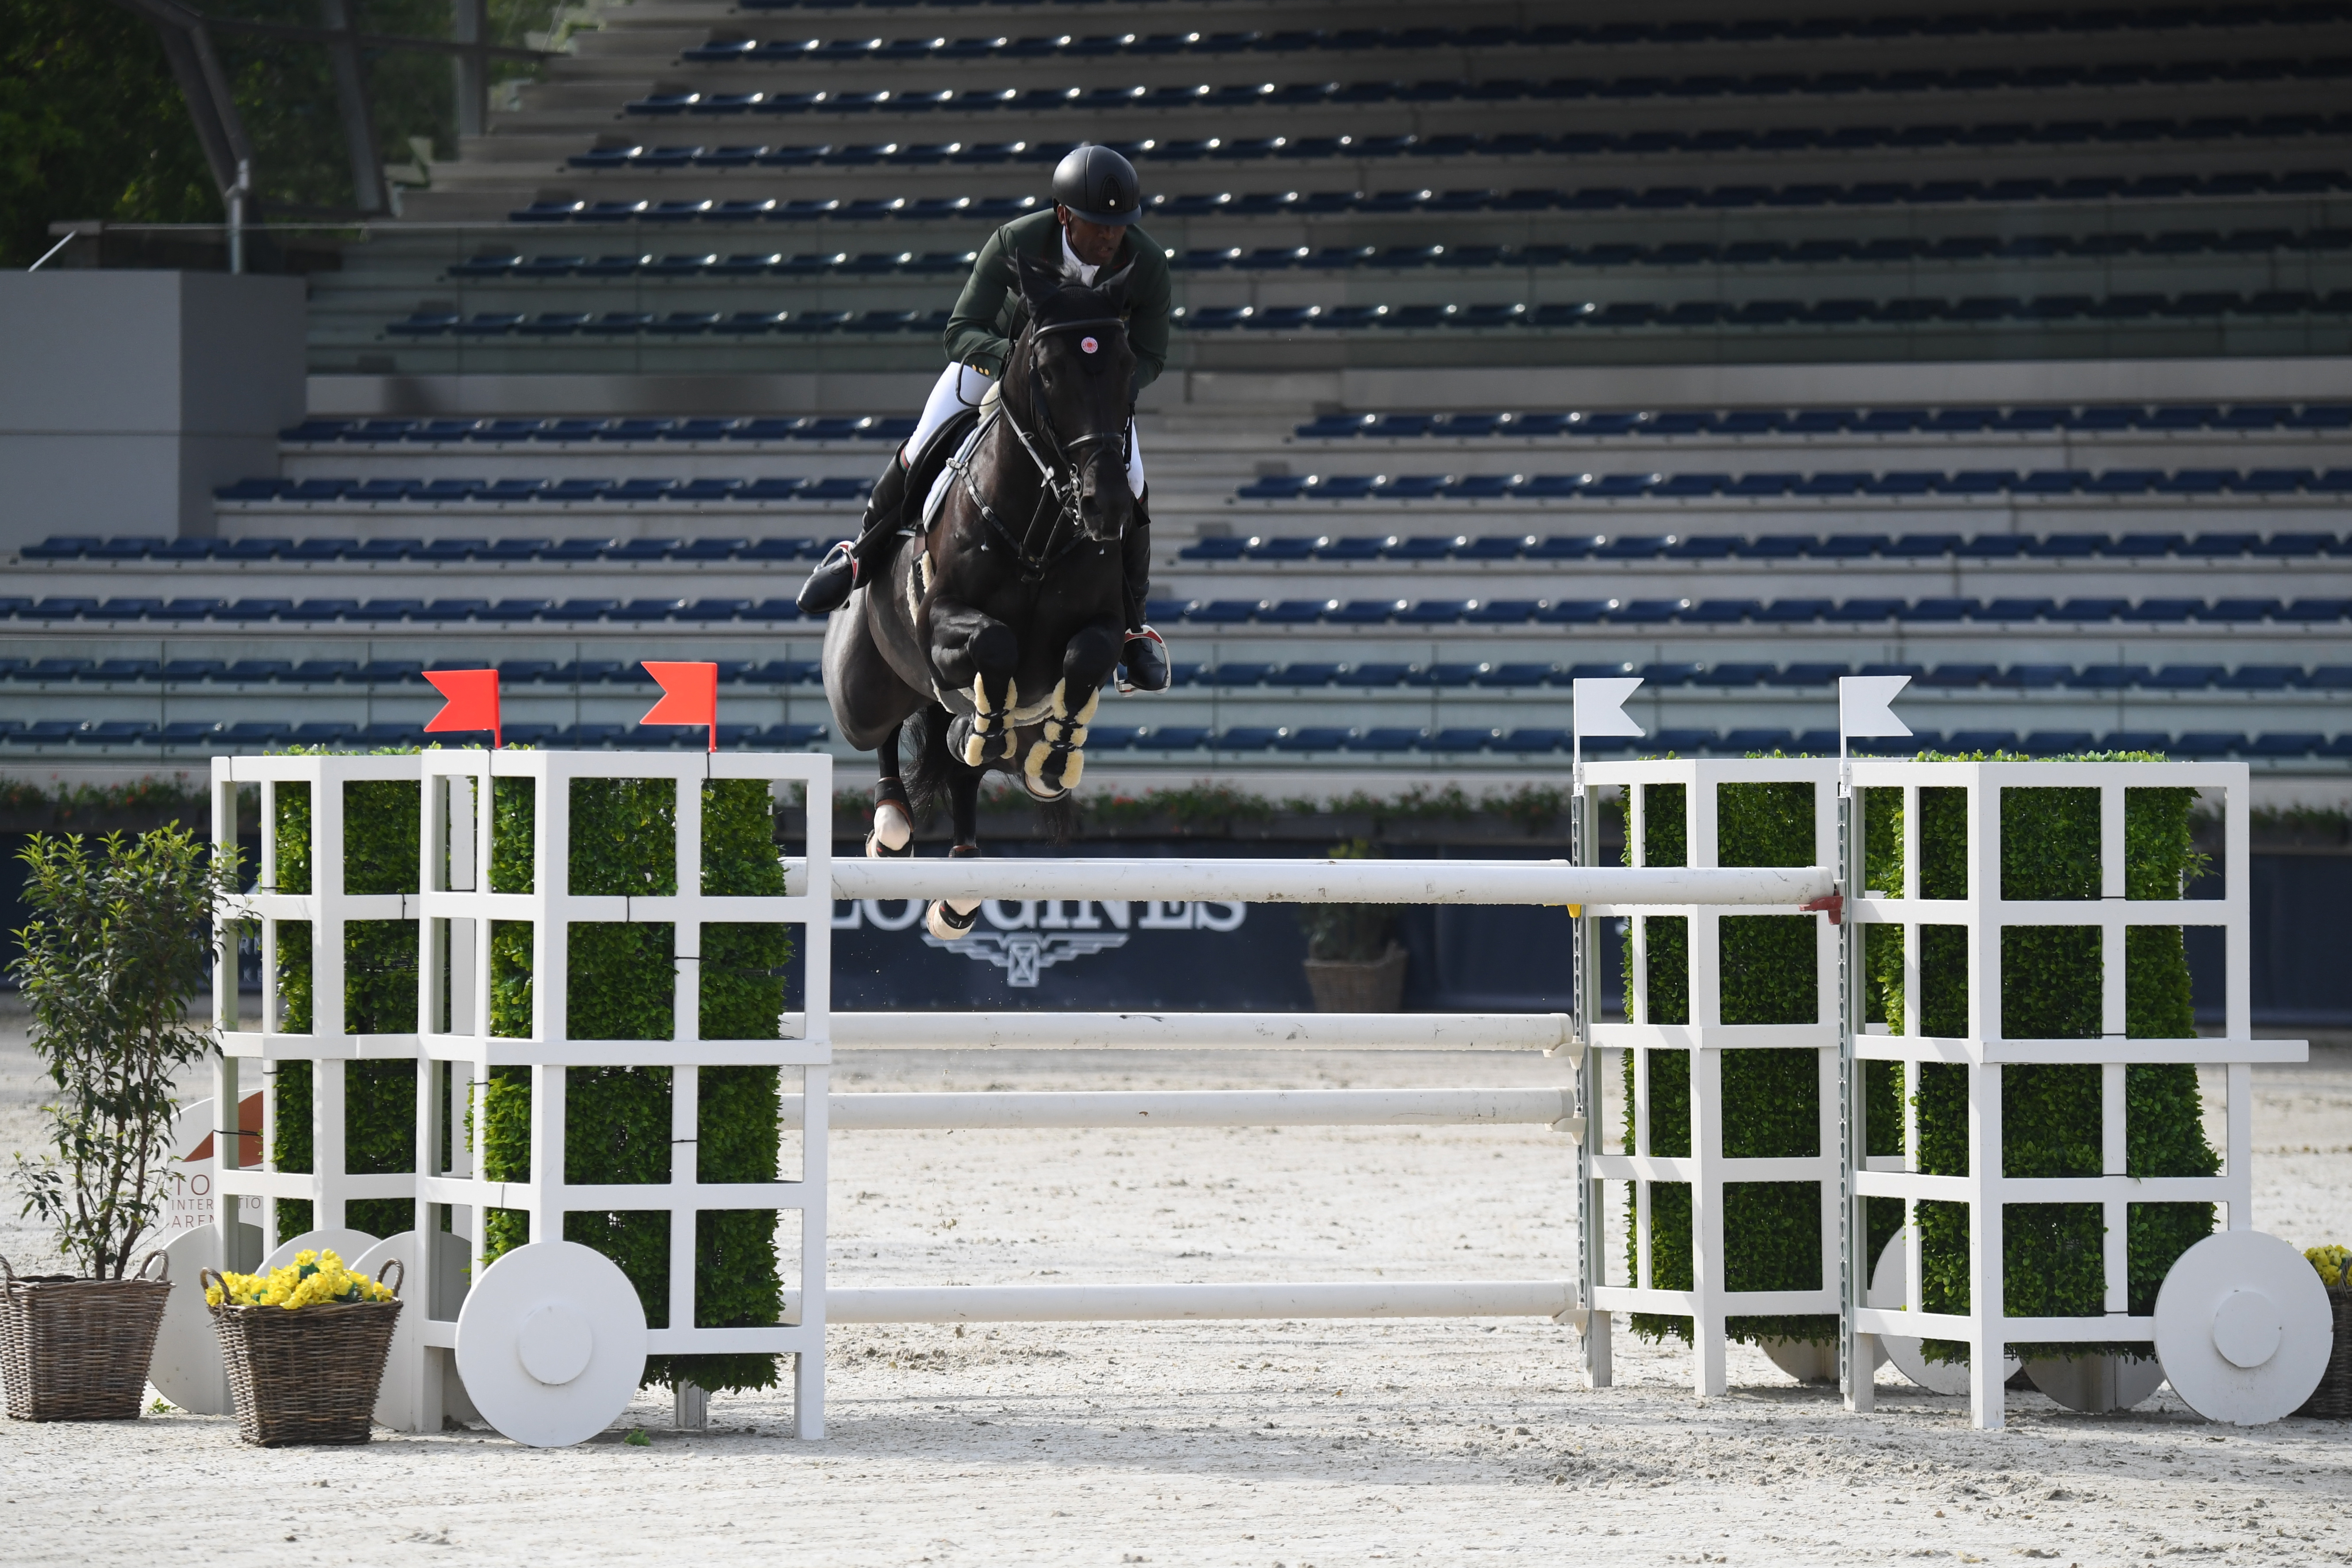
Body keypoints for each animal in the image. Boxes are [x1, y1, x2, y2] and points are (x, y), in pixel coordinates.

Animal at [818, 253, 1138, 940]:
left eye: (1128, 366)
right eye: (1047, 371)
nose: (1106, 506)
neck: (1040, 529)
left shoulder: (1101, 625)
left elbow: (1084, 658)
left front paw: (1057, 755)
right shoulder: (941, 623)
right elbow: (993, 643)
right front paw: (988, 724)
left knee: (962, 759)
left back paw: (962, 881)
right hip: (861, 691)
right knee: (889, 727)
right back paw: (891, 823)